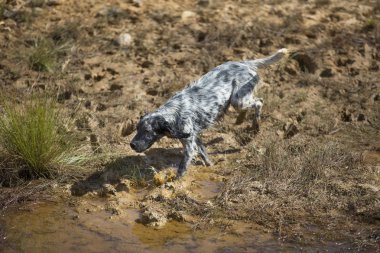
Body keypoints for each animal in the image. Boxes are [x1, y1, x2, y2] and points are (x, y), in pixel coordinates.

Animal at [131, 48, 288, 177]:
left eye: (147, 131)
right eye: (137, 129)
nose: (132, 145)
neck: (174, 113)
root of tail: (243, 63)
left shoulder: (189, 147)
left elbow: (181, 170)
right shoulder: (195, 139)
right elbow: (205, 156)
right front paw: (210, 166)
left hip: (238, 100)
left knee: (259, 102)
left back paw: (256, 125)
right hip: (238, 101)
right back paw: (240, 120)